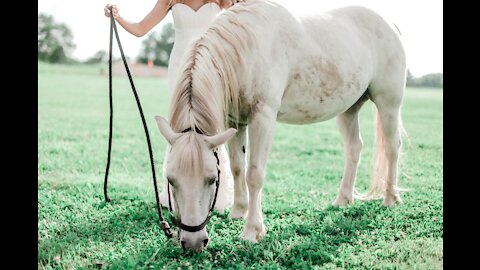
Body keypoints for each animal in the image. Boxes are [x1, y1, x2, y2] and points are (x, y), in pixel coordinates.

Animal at [153, 0, 404, 251]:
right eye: (171, 180)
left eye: (212, 179)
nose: (193, 243)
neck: (246, 49)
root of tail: (390, 24)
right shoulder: (235, 122)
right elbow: (237, 167)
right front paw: (238, 212)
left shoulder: (262, 117)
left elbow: (254, 174)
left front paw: (252, 230)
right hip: (349, 109)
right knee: (354, 148)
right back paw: (343, 199)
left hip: (388, 103)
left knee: (392, 148)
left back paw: (390, 198)